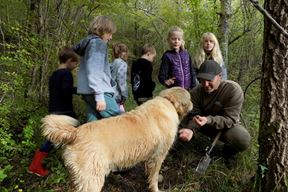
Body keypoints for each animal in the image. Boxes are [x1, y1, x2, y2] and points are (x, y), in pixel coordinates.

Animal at [41, 87, 192, 192]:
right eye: (190, 98)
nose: (193, 104)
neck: (168, 101)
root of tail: (76, 132)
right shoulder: (158, 156)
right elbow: (154, 177)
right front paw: (155, 188)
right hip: (92, 178)